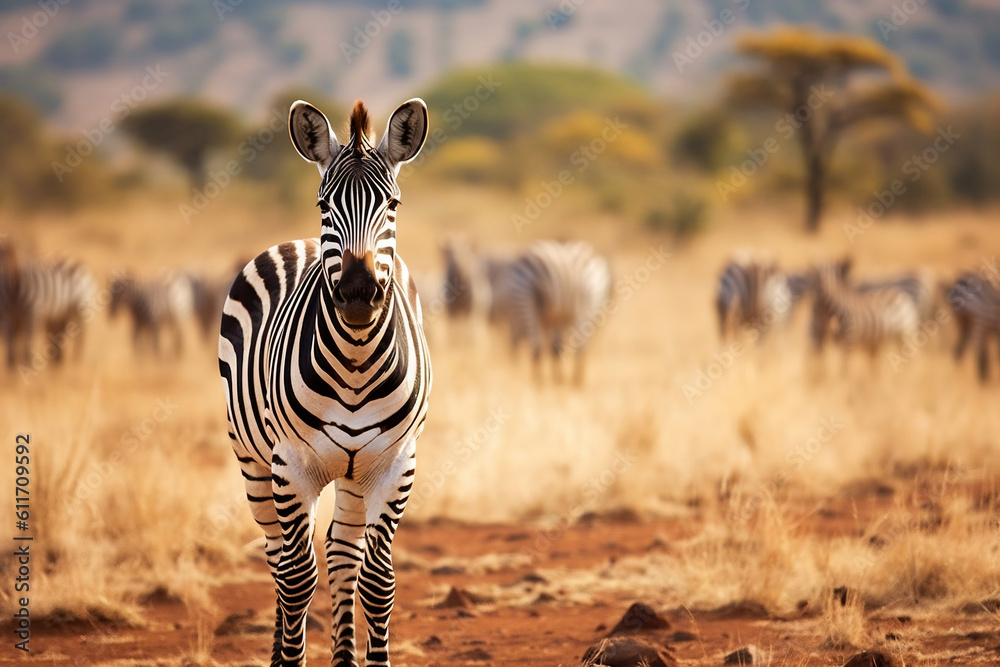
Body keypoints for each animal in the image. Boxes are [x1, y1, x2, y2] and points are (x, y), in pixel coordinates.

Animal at [218, 98, 430, 666]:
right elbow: (296, 579)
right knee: (279, 560)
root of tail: (299, 243)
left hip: (354, 473)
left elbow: (377, 581)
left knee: (341, 554)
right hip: (252, 461)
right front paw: (290, 658)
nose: (357, 292)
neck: (355, 364)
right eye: (324, 205)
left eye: (393, 204)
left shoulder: (395, 465)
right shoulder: (291, 465)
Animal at [499, 239, 610, 383]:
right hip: (528, 297)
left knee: (533, 345)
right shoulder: (586, 304)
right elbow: (575, 345)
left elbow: (556, 348)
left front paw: (558, 378)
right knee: (537, 345)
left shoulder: (553, 318)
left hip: (524, 299)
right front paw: (571, 379)